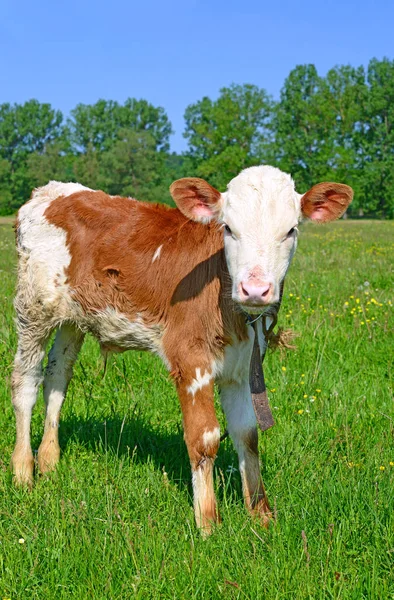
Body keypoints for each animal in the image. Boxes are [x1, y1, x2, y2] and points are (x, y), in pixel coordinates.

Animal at [10, 166, 354, 532]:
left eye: (290, 230)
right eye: (228, 228)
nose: (255, 289)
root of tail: (50, 191)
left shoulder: (241, 368)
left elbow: (247, 434)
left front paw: (261, 515)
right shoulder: (191, 359)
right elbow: (204, 437)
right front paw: (208, 521)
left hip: (72, 318)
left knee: (57, 377)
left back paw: (49, 459)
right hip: (33, 310)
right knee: (25, 383)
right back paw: (23, 470)